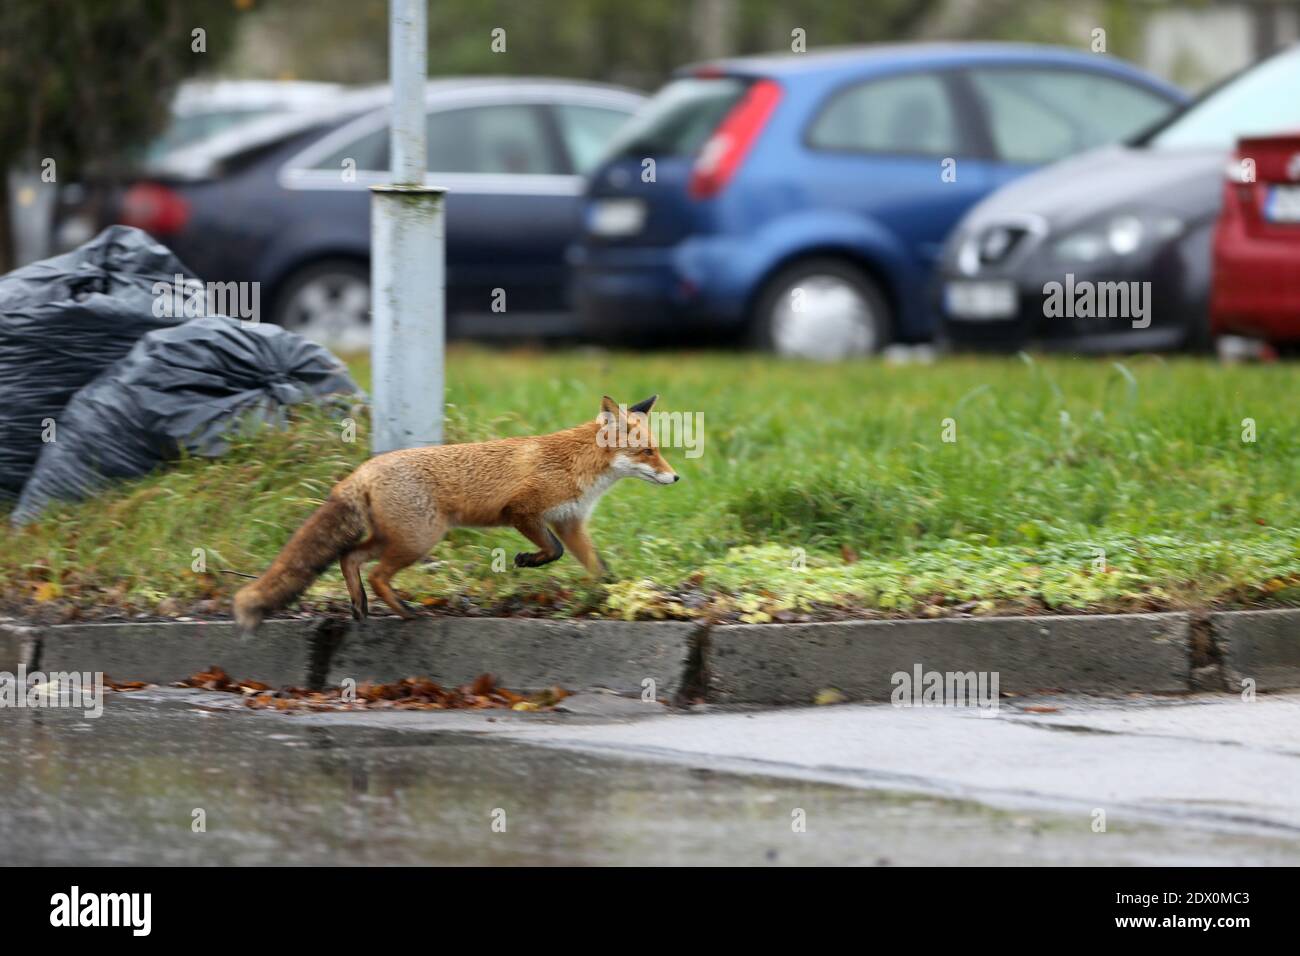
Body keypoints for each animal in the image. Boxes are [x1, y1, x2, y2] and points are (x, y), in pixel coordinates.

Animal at [233, 394, 678, 634]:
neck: (576, 465)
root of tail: (363, 469)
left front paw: (614, 598)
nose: (675, 477)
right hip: (419, 540)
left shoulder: (570, 522)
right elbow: (553, 552)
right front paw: (526, 560)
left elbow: (599, 568)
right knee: (375, 573)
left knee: (349, 557)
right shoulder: (523, 511)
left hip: (398, 538)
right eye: (647, 452)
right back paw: (406, 613)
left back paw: (361, 605)